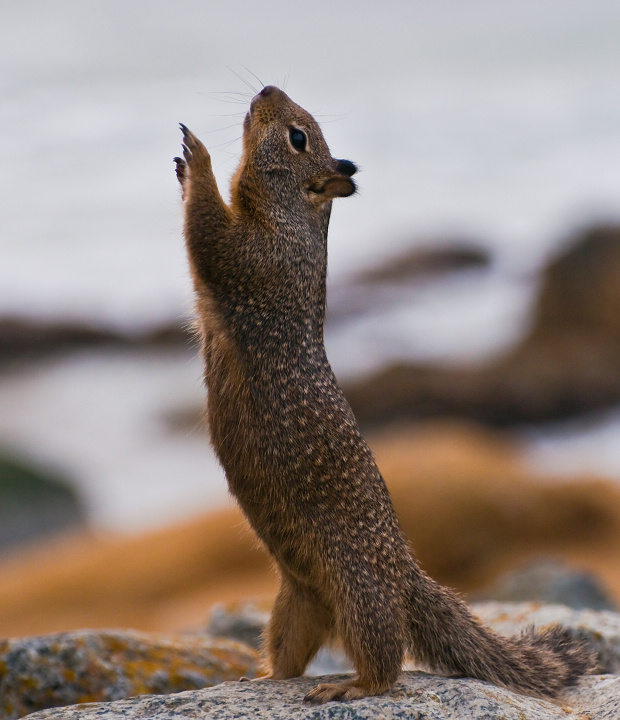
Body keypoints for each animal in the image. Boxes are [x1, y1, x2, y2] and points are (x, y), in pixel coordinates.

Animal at [176, 84, 596, 704]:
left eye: (298, 137)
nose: (266, 90)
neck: (295, 219)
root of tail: (403, 572)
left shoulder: (255, 259)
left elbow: (208, 231)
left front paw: (197, 156)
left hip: (360, 592)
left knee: (386, 657)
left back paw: (350, 687)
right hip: (297, 600)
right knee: (294, 648)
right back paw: (266, 676)